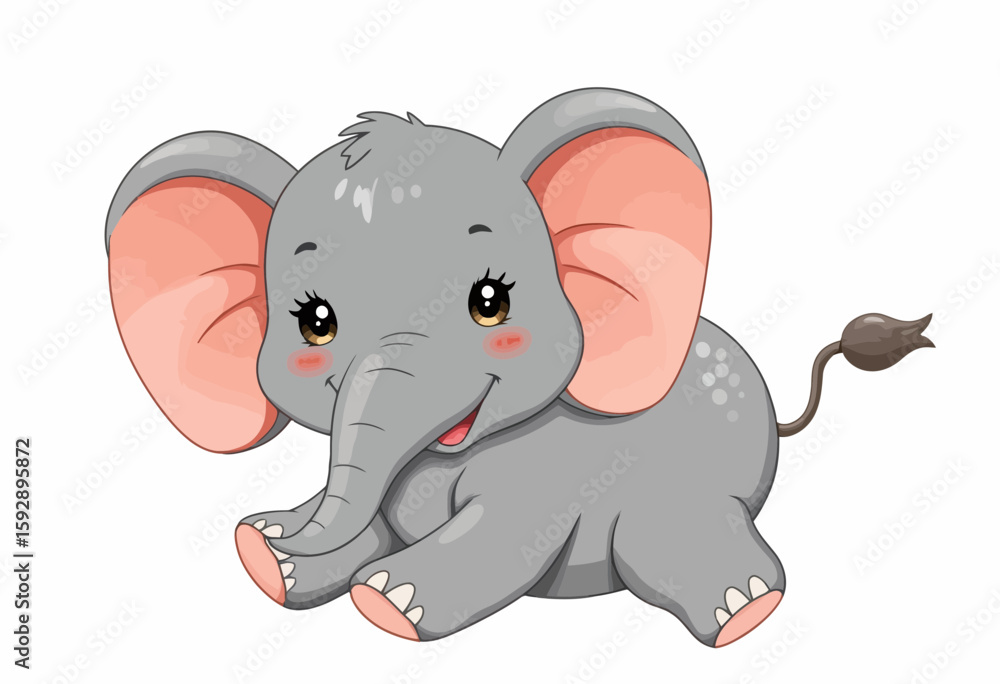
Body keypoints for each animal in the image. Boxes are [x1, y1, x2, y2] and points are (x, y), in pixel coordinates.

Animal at [104, 88, 933, 647]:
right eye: (315, 322)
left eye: (490, 301)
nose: (254, 533)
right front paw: (272, 560)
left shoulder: (553, 473)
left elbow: (505, 538)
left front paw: (389, 600)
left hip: (690, 485)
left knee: (669, 541)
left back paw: (742, 608)